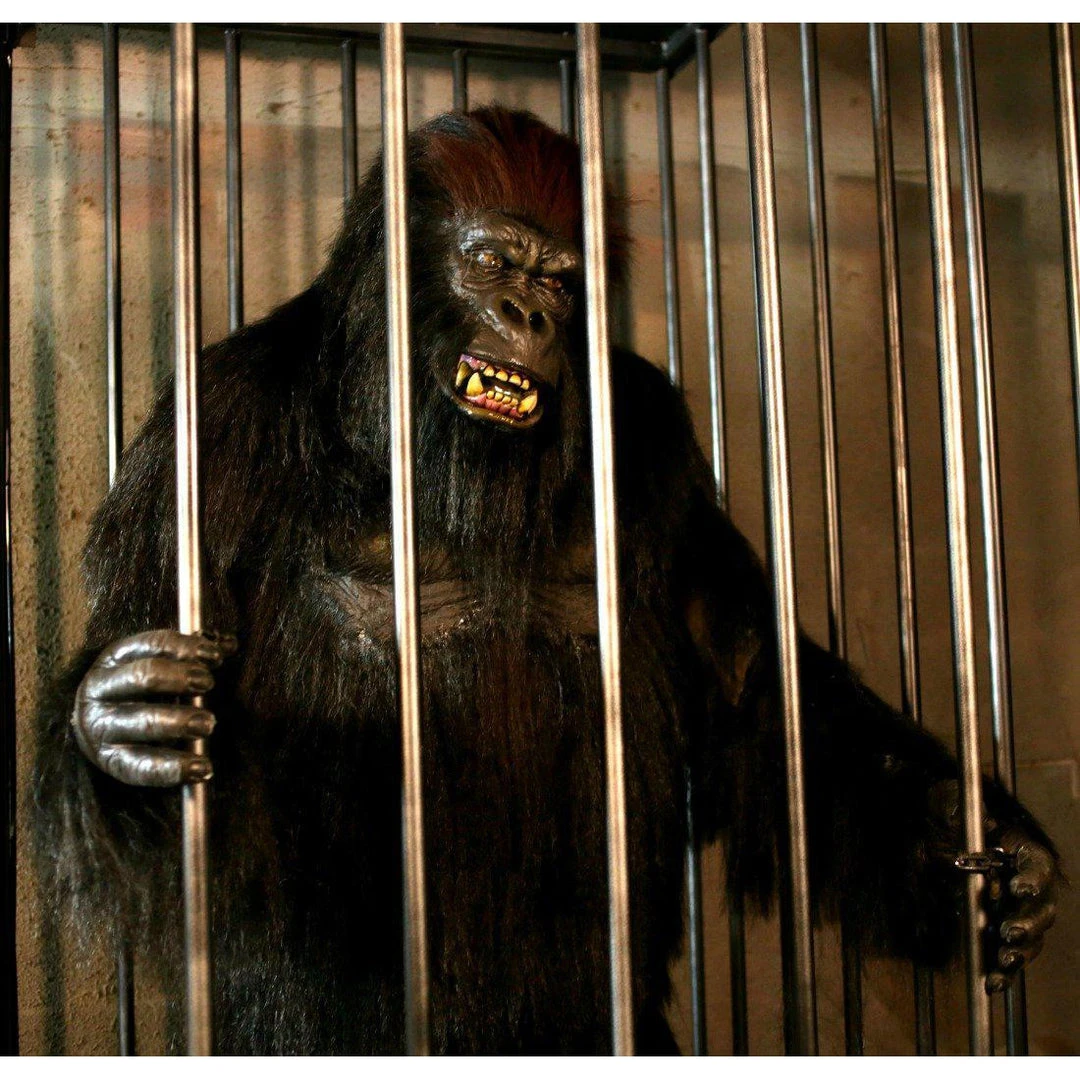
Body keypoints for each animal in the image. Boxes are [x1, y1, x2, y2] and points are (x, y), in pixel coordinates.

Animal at [33, 107, 1058, 1054]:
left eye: (561, 280)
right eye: (492, 262)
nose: (528, 318)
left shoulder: (653, 437)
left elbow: (753, 684)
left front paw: (978, 844)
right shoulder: (213, 431)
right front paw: (119, 722)